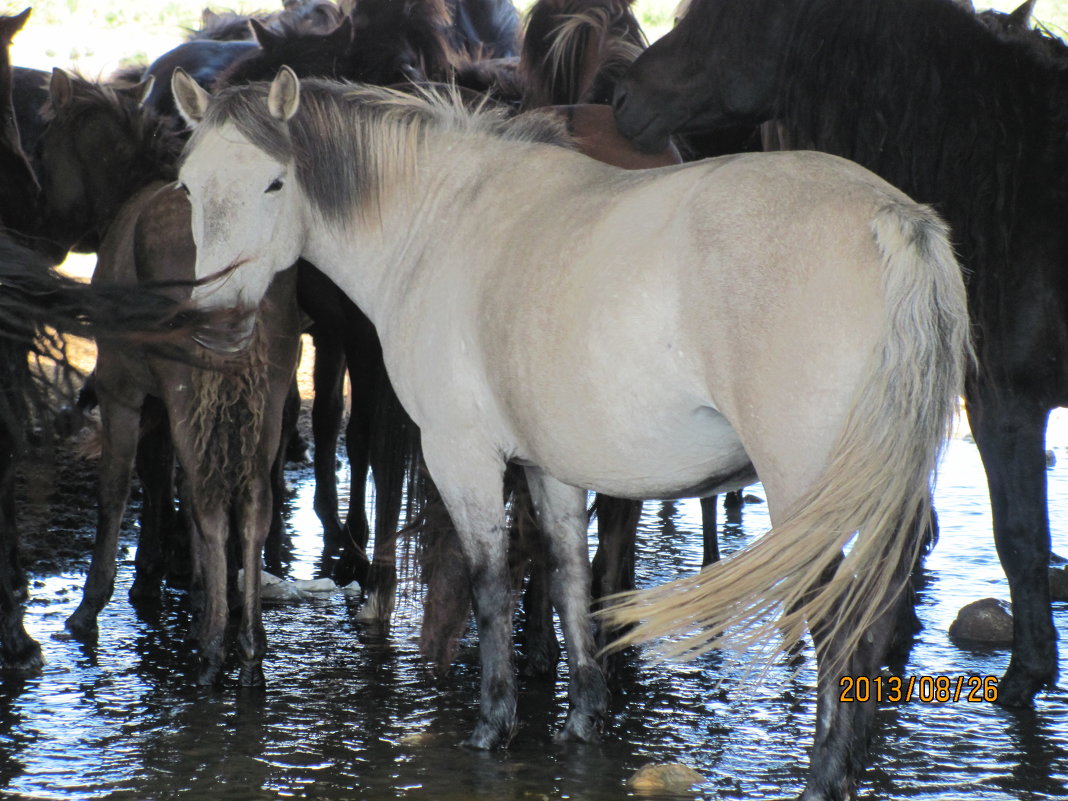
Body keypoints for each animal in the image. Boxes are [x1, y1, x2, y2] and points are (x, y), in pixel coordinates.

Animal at [170, 67, 974, 798]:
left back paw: (823, 779)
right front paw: (584, 716)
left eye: (274, 183)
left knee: (839, 628)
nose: (217, 326)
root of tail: (890, 218)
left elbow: (493, 585)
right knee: (872, 621)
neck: (440, 221)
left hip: (809, 496)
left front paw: (494, 723)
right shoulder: (548, 465)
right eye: (186, 187)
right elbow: (567, 579)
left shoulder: (462, 455)